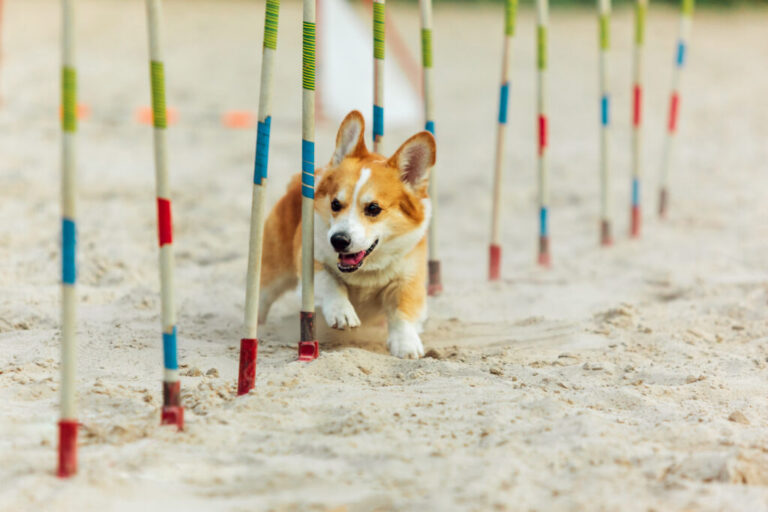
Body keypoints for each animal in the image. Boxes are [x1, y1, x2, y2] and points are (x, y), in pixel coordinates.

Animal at [260, 111, 436, 360]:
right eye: (335, 204)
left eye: (373, 208)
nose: (338, 241)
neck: (365, 271)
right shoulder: (311, 262)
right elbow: (330, 282)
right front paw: (342, 312)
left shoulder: (408, 279)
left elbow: (403, 310)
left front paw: (406, 345)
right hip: (273, 274)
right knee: (261, 301)